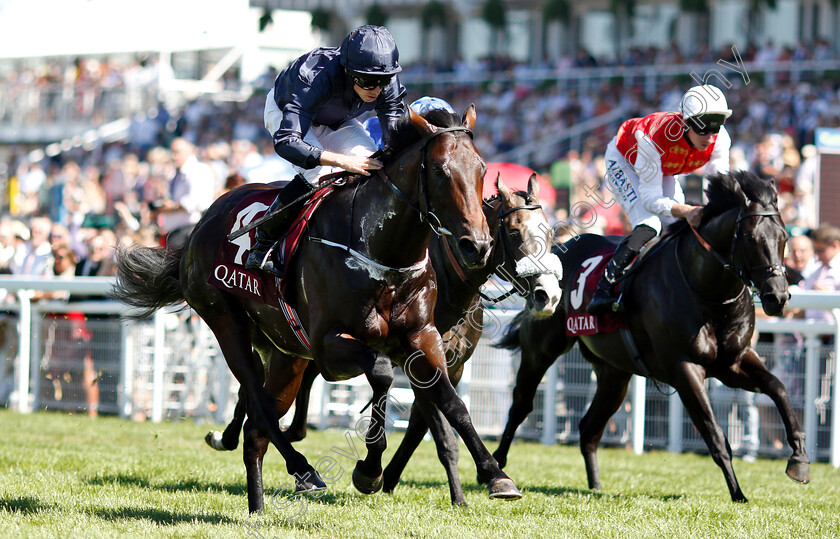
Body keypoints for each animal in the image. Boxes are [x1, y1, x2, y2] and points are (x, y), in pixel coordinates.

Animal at [108, 104, 520, 510]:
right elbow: (381, 372)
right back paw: (303, 470)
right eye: (438, 170)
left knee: (256, 429)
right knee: (258, 405)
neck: (380, 252)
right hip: (227, 323)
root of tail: (199, 226)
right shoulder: (327, 347)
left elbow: (452, 403)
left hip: (284, 353)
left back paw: (258, 507)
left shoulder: (423, 337)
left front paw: (495, 474)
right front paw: (369, 470)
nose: (477, 246)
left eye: (482, 169)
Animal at [207, 176, 564, 506]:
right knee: (257, 387)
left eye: (550, 234)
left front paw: (418, 483)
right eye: (515, 233)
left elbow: (432, 422)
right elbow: (442, 435)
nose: (548, 295)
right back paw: (231, 436)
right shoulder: (413, 362)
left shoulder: (448, 365)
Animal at [492, 172, 808, 502]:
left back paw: (595, 487)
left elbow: (779, 388)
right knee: (521, 405)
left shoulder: (732, 363)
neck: (707, 290)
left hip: (614, 372)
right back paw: (498, 466)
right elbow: (715, 435)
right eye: (750, 238)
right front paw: (738, 494)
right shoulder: (685, 369)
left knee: (589, 428)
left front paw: (799, 460)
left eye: (784, 238)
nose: (777, 297)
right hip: (540, 351)